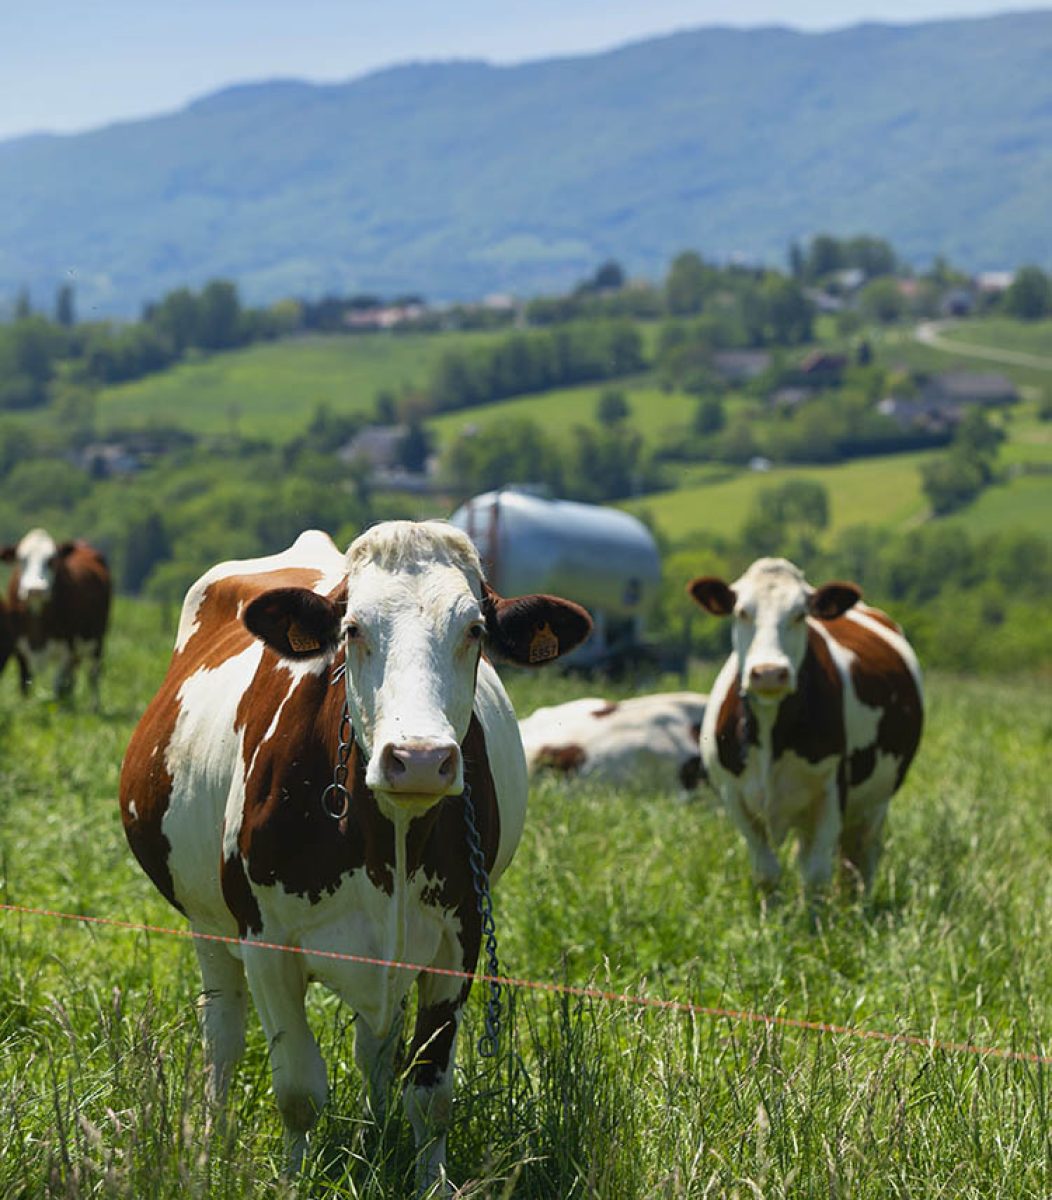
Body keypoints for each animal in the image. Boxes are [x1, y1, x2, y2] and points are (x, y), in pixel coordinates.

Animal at [0, 528, 111, 706]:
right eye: (22, 559)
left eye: (51, 560)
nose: (35, 589)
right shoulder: (19, 648)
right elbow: (25, 684)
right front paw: (26, 706)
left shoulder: (66, 648)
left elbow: (57, 684)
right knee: (74, 677)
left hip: (97, 639)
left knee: (93, 674)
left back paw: (94, 706)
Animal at [118, 523, 591, 1193]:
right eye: (352, 629)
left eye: (475, 629)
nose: (418, 758)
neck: (386, 839)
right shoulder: (267, 945)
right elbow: (297, 1091)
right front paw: (292, 1183)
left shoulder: (458, 941)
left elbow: (430, 1093)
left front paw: (426, 1181)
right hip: (207, 924)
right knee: (223, 1038)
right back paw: (210, 1146)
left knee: (375, 1046)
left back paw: (374, 1133)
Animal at [688, 557, 923, 900]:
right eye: (742, 611)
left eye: (800, 614)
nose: (769, 672)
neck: (770, 732)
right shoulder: (734, 796)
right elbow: (766, 873)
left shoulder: (831, 792)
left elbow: (814, 875)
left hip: (874, 802)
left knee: (861, 856)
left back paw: (856, 905)